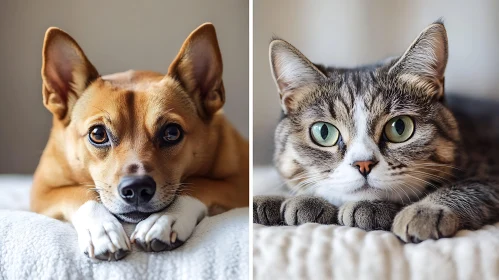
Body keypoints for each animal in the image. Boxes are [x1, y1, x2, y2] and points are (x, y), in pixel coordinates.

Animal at [30, 23, 249, 262]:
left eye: (172, 132)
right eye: (98, 134)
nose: (136, 188)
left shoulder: (240, 184)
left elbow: (200, 184)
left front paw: (165, 219)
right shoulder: (42, 192)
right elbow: (80, 193)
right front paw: (102, 230)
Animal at [254, 21, 499, 243]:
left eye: (400, 128)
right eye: (324, 132)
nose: (363, 164)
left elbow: (470, 186)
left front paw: (424, 210)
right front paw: (276, 200)